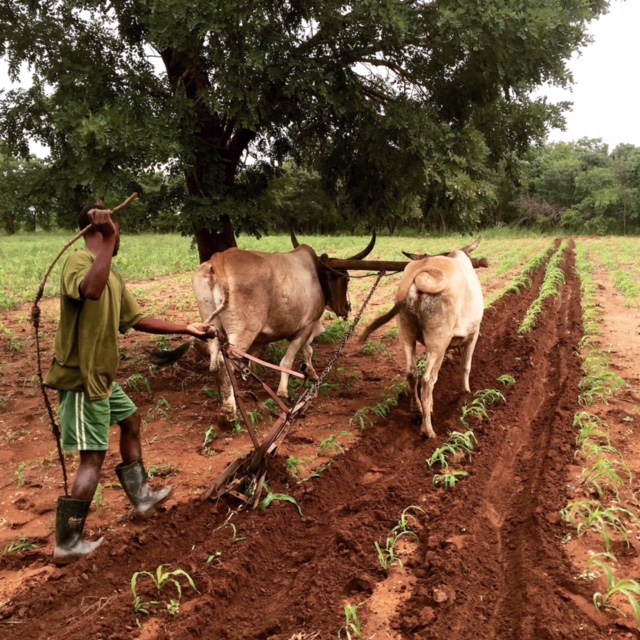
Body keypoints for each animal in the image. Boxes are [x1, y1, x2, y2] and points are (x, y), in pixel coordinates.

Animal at [157, 233, 376, 417]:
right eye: (345, 278)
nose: (346, 308)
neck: (317, 274)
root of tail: (219, 258)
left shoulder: (271, 336)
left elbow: (300, 353)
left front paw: (311, 374)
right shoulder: (306, 326)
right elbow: (289, 360)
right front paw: (284, 391)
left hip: (212, 326)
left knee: (214, 361)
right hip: (242, 331)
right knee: (223, 361)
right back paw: (229, 408)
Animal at [359, 239, 483, 438]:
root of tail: (421, 273)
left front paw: (430, 407)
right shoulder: (473, 334)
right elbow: (465, 367)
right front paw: (466, 394)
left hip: (406, 333)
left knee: (412, 373)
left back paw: (417, 411)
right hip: (438, 341)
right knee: (427, 380)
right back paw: (428, 430)